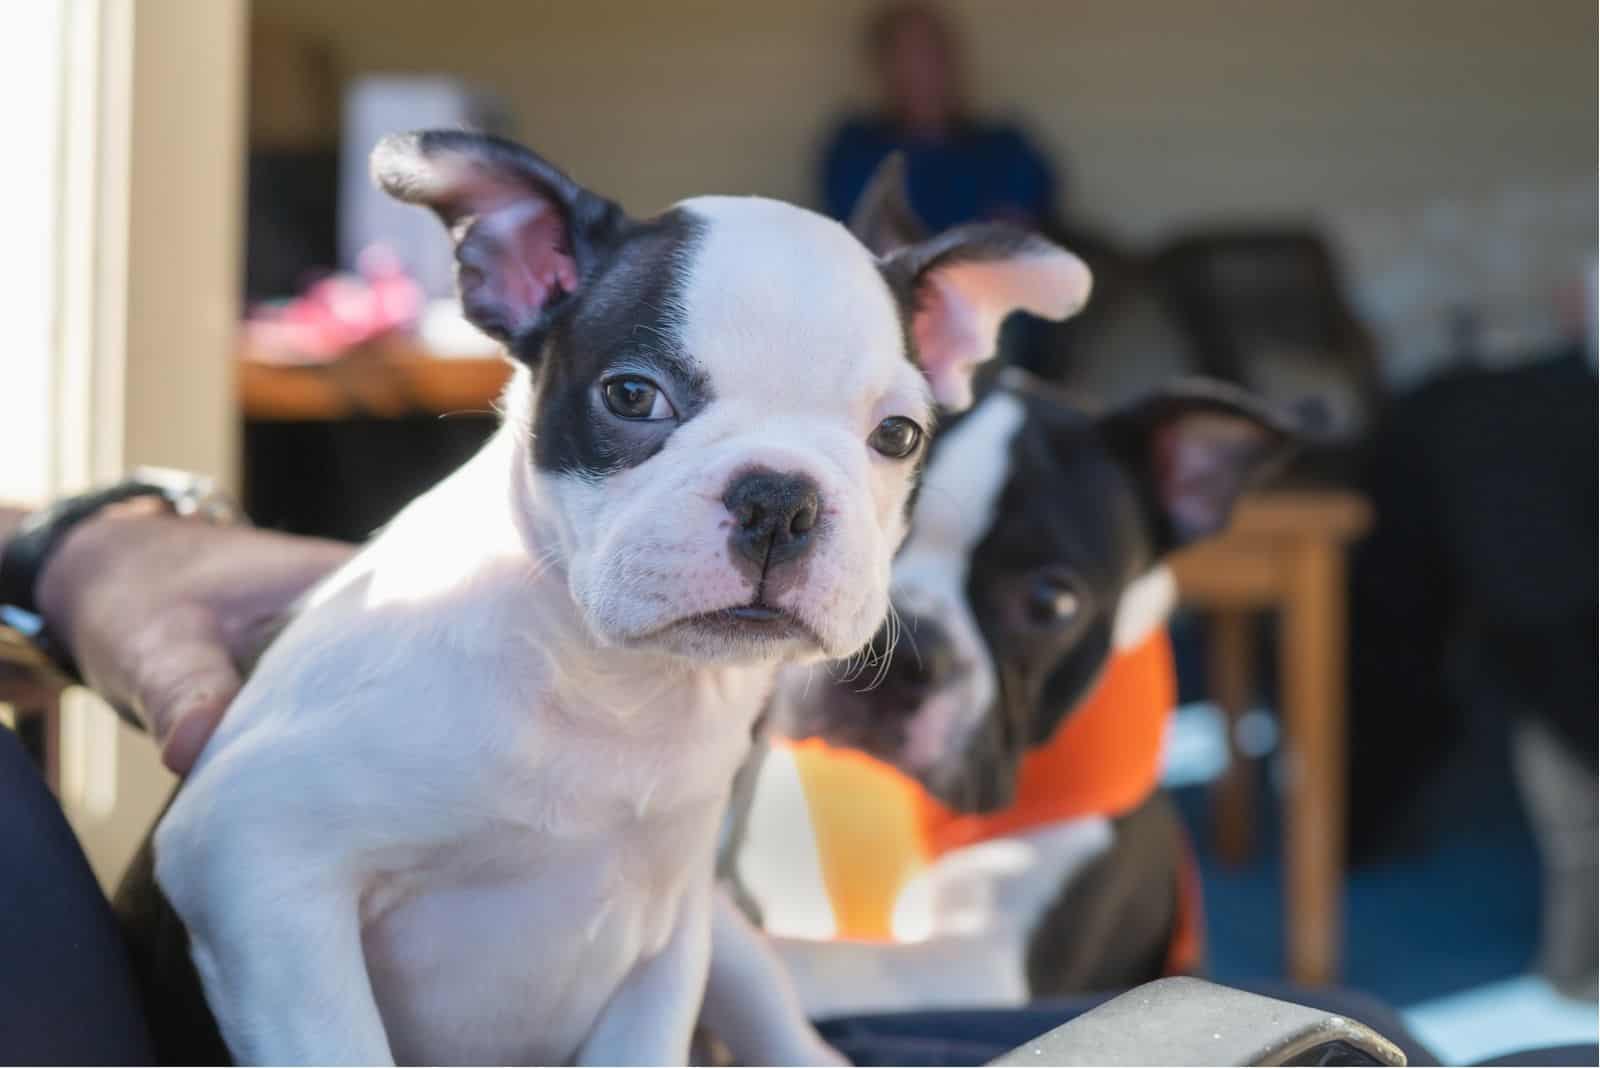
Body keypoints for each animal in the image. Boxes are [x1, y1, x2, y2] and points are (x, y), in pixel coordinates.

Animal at [131, 135, 1094, 1068]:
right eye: (632, 395)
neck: (615, 688)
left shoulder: (667, 944)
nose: (780, 500)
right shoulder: (256, 867)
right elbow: (342, 1043)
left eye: (898, 435)